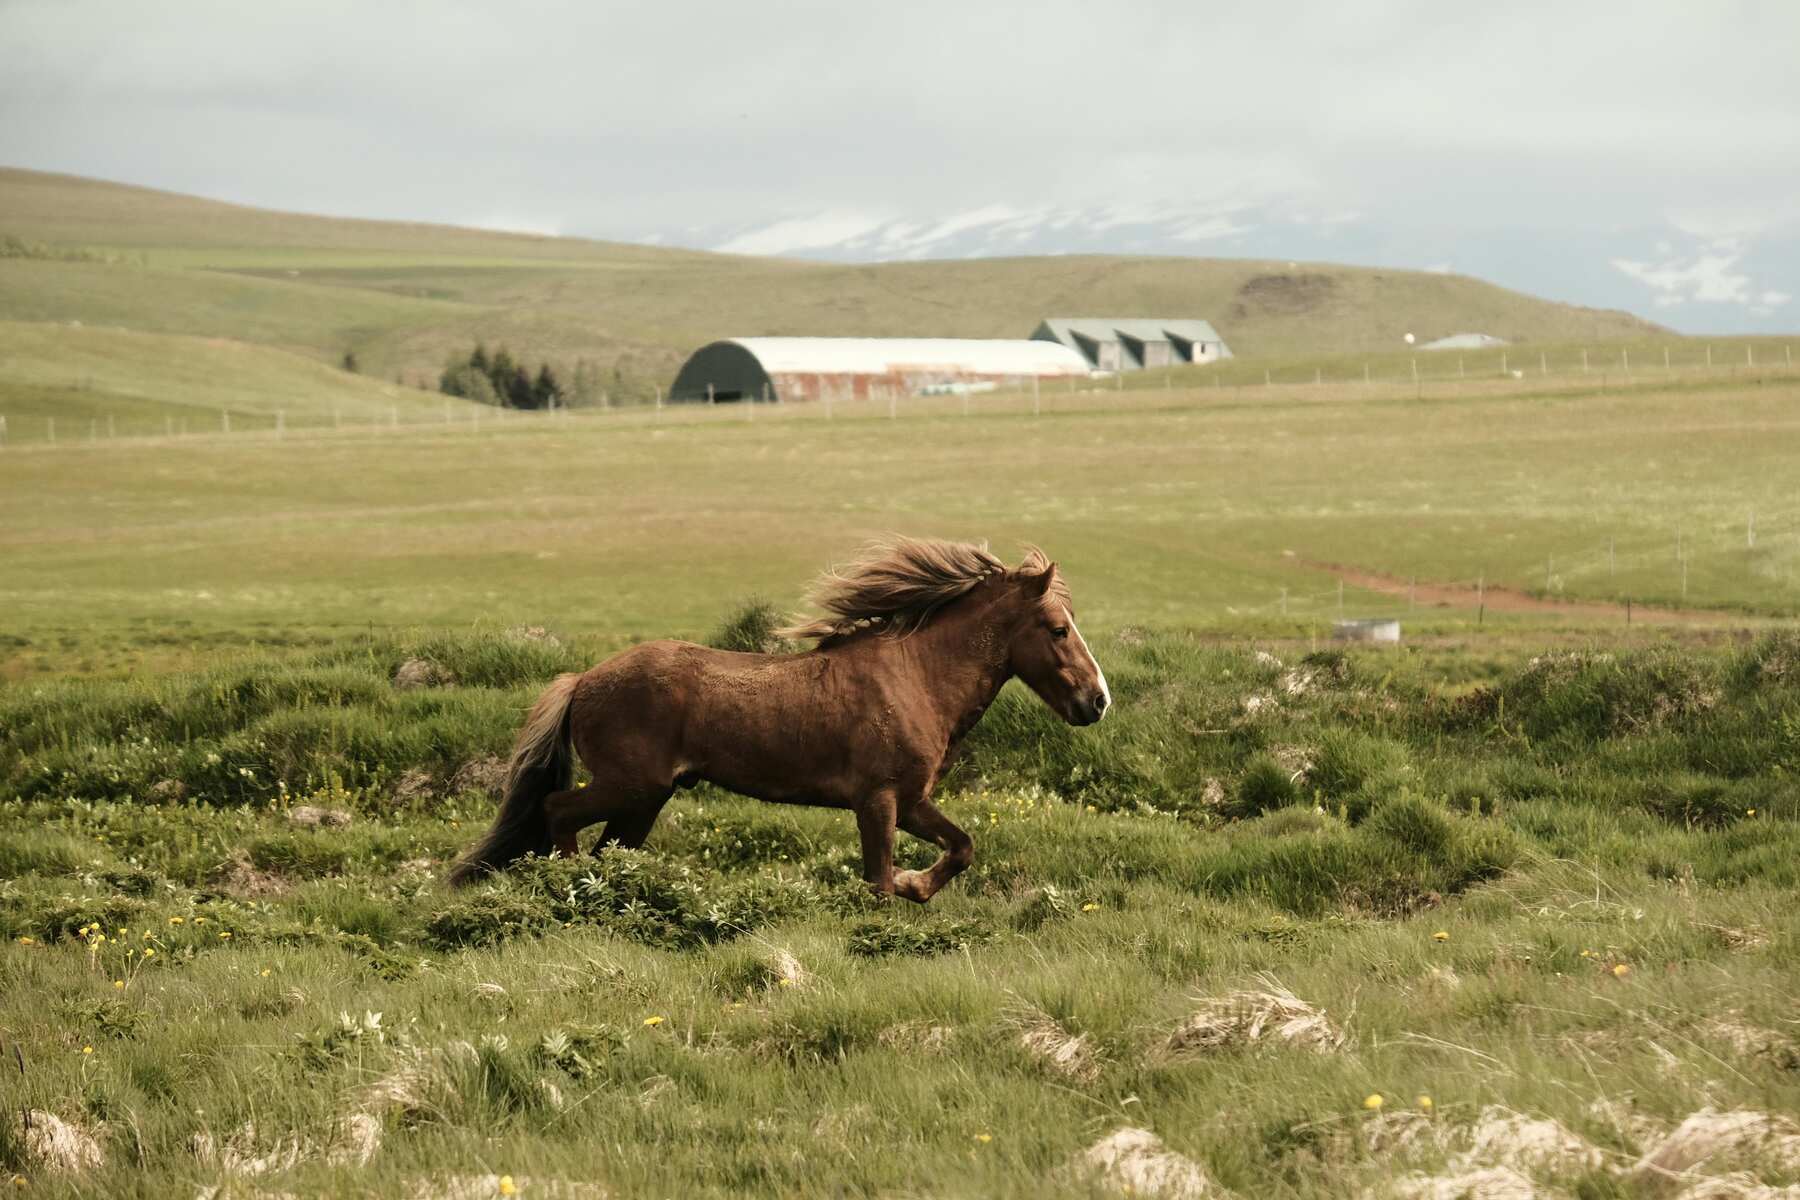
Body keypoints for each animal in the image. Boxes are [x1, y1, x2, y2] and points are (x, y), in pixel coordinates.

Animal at [448, 537, 1110, 901]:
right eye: (1058, 629)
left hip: (644, 800)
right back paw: (568, 887)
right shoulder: (879, 801)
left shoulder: (911, 800)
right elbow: (879, 882)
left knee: (609, 848)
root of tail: (582, 681)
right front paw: (906, 890)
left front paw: (916, 885)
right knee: (558, 811)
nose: (1098, 700)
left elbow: (963, 846)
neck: (916, 677)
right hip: (630, 787)